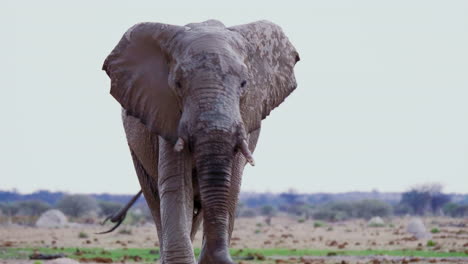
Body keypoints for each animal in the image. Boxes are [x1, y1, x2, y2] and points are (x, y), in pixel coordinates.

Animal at [102, 19, 300, 262]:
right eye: (177, 84)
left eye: (244, 84)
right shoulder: (165, 113)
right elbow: (177, 185)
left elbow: (231, 186)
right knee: (155, 198)